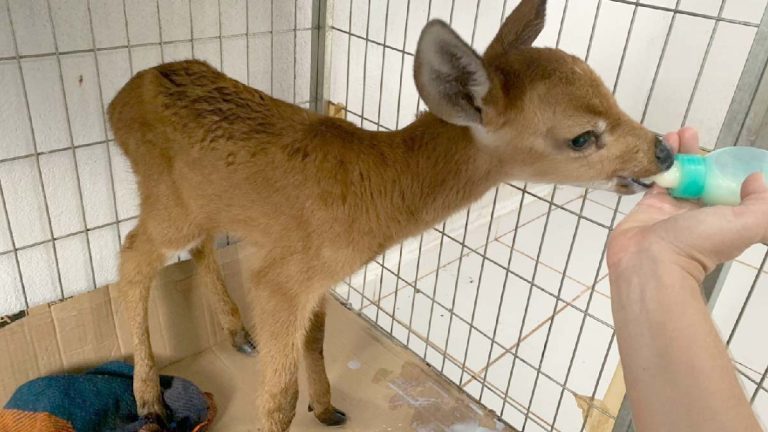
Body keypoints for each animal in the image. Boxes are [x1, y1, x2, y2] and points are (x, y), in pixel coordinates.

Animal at [107, 0, 673, 430]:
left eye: (612, 96)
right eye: (581, 137)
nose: (663, 150)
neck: (376, 190)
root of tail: (118, 101)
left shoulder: (311, 277)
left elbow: (318, 338)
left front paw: (327, 407)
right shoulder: (279, 279)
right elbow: (278, 398)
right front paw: (307, 404)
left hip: (195, 203)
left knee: (194, 247)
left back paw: (236, 333)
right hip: (166, 198)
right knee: (132, 257)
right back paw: (150, 401)